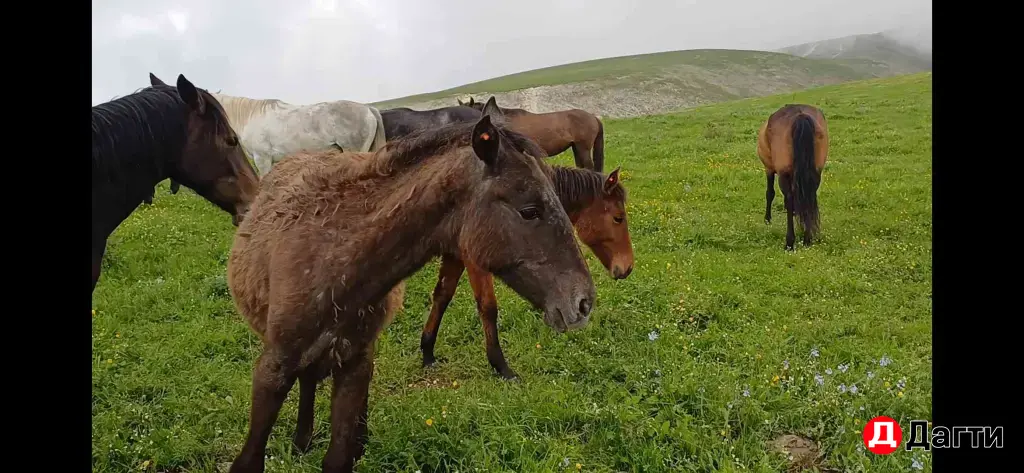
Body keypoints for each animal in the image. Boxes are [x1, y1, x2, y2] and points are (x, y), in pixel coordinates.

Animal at [225, 101, 596, 473]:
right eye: (529, 210)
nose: (583, 302)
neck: (332, 259)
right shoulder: (273, 368)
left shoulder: (353, 366)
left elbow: (340, 455)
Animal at [421, 164, 634, 380]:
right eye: (618, 218)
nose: (628, 267)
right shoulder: (474, 259)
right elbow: (487, 308)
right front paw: (501, 366)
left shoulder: (454, 253)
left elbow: (442, 295)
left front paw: (427, 352)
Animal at [756, 104, 829, 250]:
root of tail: (800, 115)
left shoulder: (769, 169)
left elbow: (769, 193)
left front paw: (767, 219)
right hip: (815, 172)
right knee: (809, 195)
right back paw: (807, 239)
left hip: (783, 174)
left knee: (789, 198)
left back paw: (789, 242)